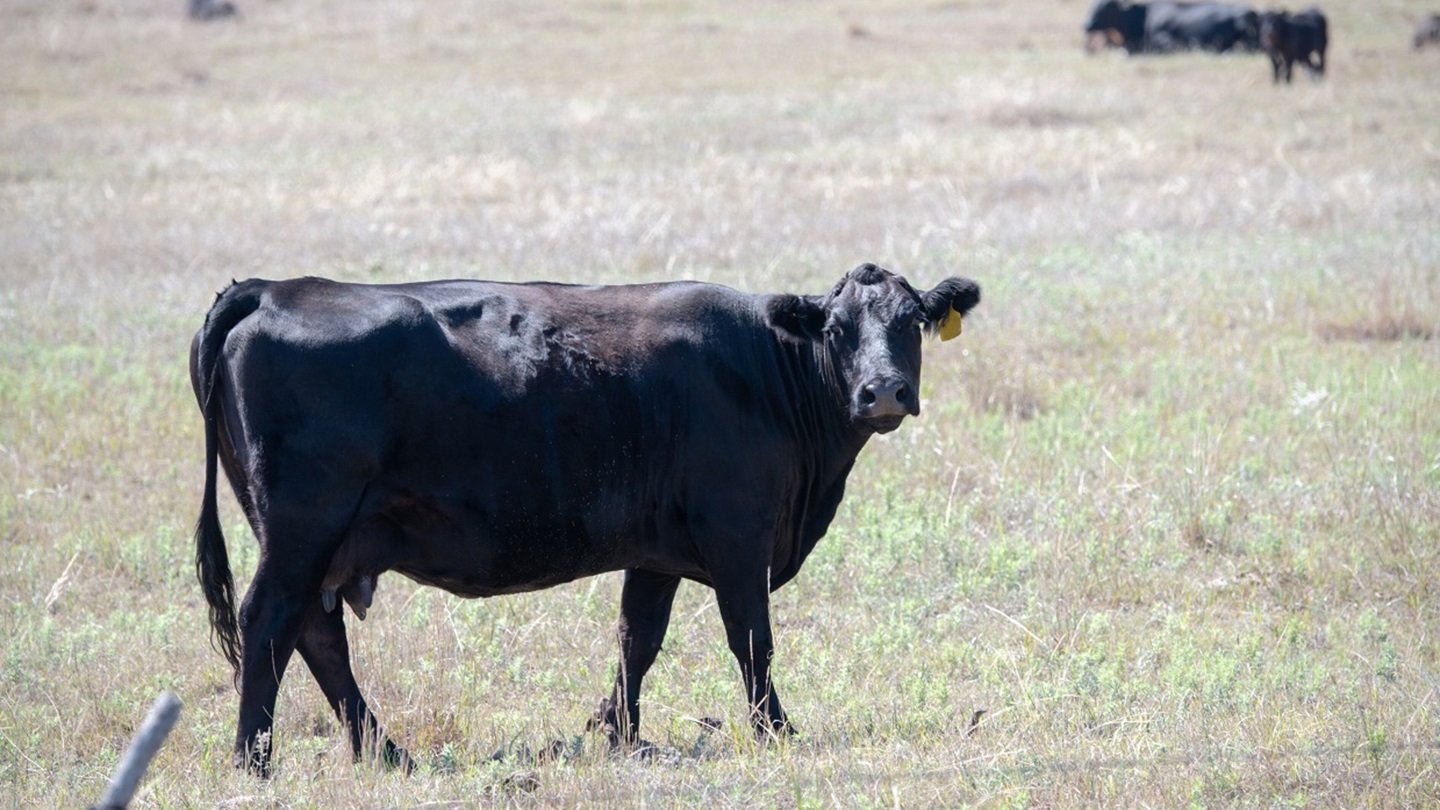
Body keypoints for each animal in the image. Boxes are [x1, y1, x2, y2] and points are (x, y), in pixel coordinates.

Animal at [191, 264, 981, 774]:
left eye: (912, 322)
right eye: (839, 328)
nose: (884, 391)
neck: (764, 369)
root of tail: (273, 289)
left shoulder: (656, 553)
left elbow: (638, 641)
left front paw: (620, 735)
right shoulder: (739, 534)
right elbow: (752, 641)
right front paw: (778, 732)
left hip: (316, 541)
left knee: (315, 637)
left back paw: (386, 754)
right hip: (304, 528)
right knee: (272, 621)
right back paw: (253, 760)